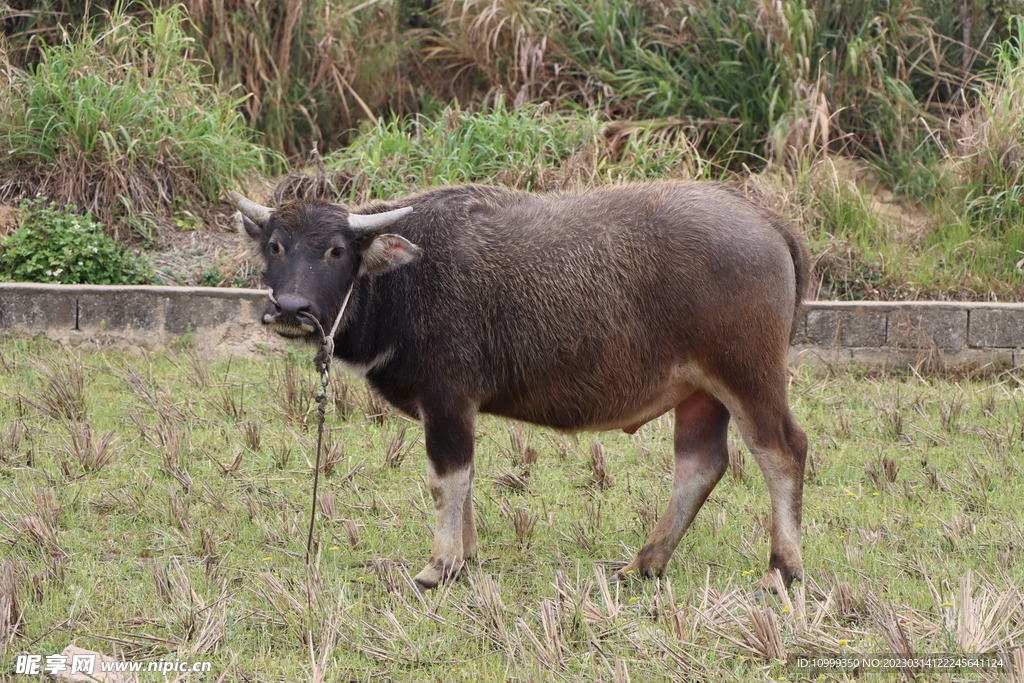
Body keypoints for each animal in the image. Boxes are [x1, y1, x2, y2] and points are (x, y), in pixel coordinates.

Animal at [230, 183, 806, 593]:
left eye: (334, 251)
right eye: (277, 246)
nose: (291, 309)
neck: (406, 279)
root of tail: (767, 221)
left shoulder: (447, 400)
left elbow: (446, 480)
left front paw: (439, 566)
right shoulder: (457, 409)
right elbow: (464, 482)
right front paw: (465, 556)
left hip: (747, 377)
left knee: (782, 452)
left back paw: (781, 570)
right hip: (699, 396)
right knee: (700, 465)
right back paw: (644, 564)